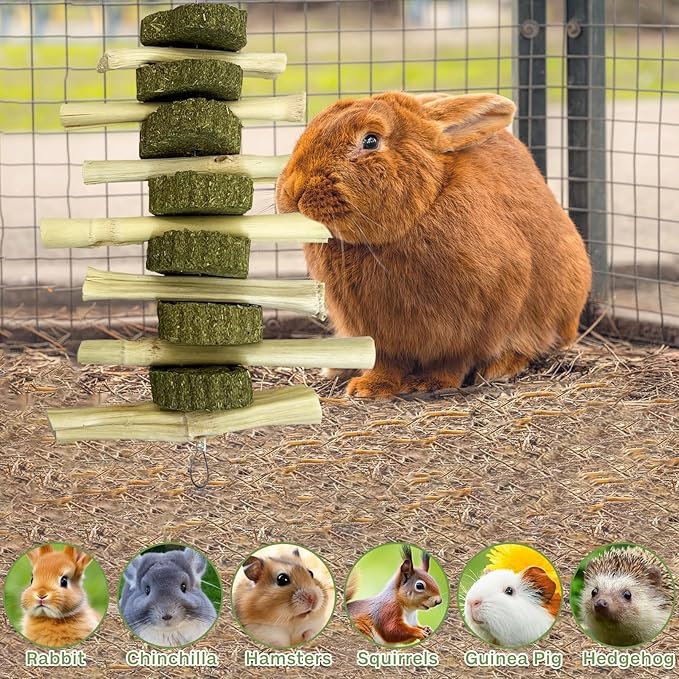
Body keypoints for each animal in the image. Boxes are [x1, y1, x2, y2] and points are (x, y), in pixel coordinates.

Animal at [275, 91, 592, 397]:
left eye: (370, 140)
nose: (293, 189)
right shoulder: (374, 331)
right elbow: (385, 361)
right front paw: (369, 388)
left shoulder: (472, 326)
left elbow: (453, 361)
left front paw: (427, 384)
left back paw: (500, 368)